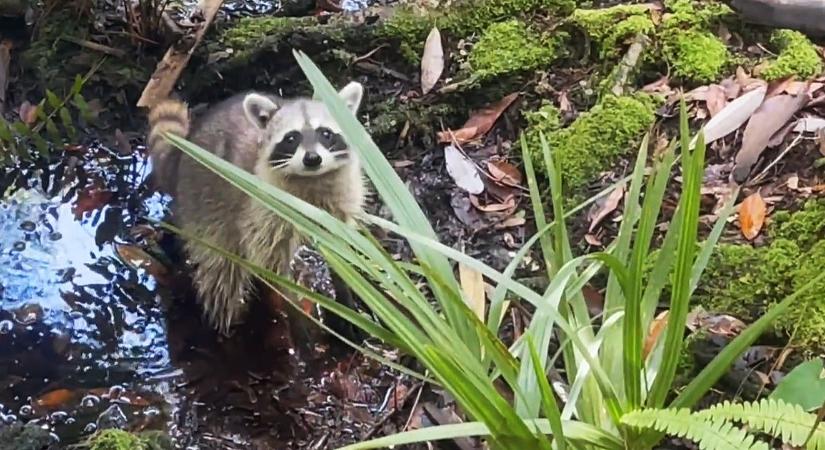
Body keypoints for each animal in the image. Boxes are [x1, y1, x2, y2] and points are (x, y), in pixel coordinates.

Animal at [146, 81, 366, 334]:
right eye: (292, 138)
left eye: (326, 133)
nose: (312, 158)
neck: (311, 180)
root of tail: (182, 154)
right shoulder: (263, 213)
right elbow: (276, 269)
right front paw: (298, 321)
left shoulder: (340, 207)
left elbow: (341, 256)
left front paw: (345, 298)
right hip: (204, 208)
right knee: (221, 274)